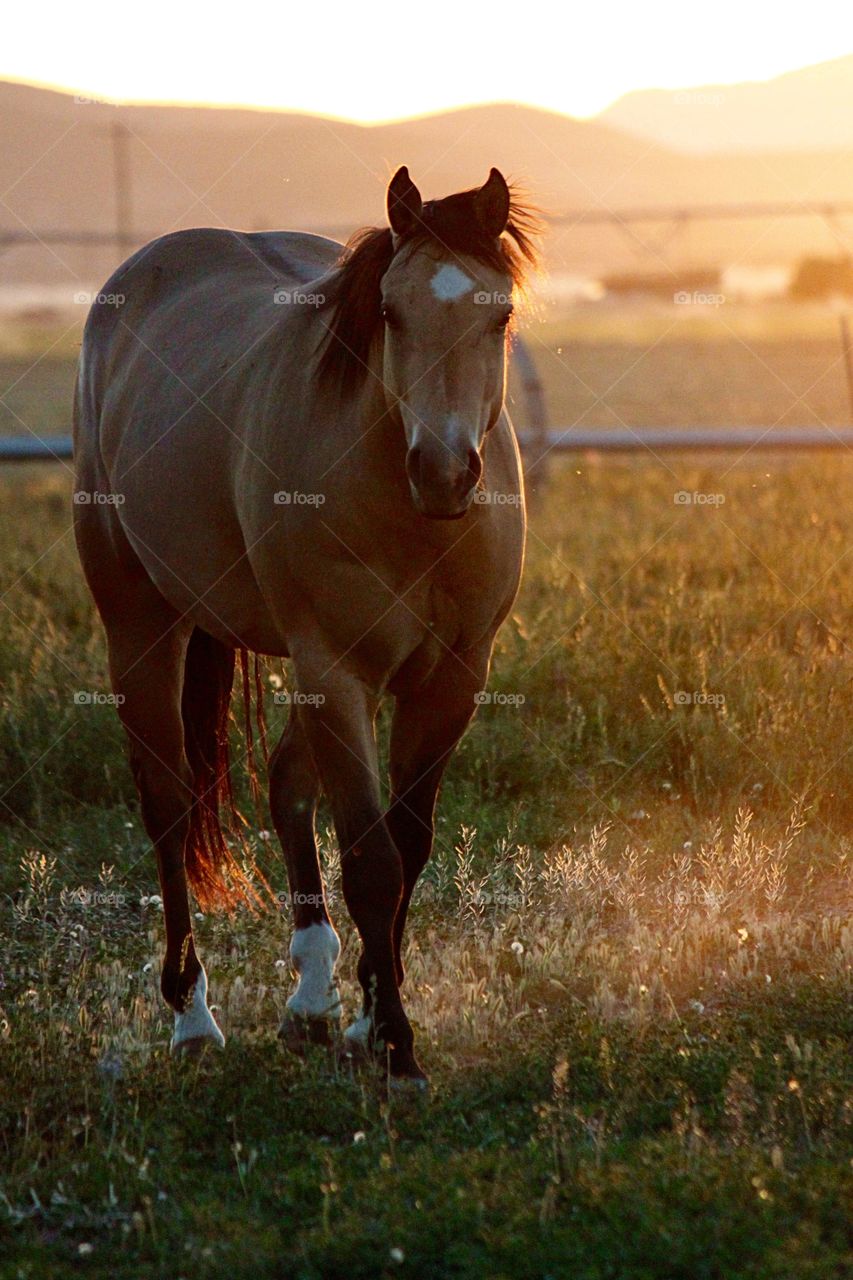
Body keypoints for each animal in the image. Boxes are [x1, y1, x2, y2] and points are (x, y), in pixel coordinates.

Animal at [73, 165, 541, 1085]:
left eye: (499, 315)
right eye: (390, 313)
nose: (443, 470)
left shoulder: (452, 678)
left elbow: (408, 844)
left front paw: (364, 1017)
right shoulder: (338, 671)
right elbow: (371, 859)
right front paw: (395, 1046)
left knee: (288, 786)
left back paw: (313, 999)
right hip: (141, 622)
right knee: (168, 803)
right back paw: (192, 1016)